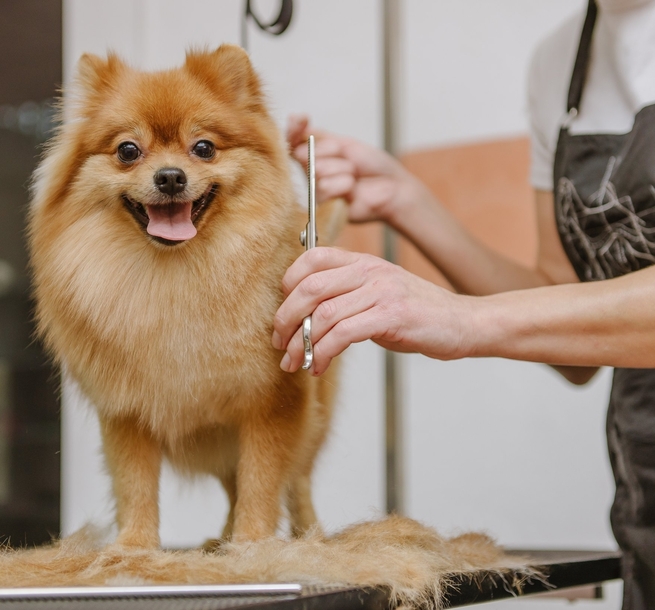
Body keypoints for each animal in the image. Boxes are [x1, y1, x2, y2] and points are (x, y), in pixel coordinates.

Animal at [27, 42, 338, 548]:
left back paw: (306, 536)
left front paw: (253, 545)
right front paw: (134, 548)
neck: (177, 277)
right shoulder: (125, 410)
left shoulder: (274, 401)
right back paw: (218, 541)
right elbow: (135, 483)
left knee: (297, 480)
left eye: (204, 148)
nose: (170, 176)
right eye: (128, 150)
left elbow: (262, 479)